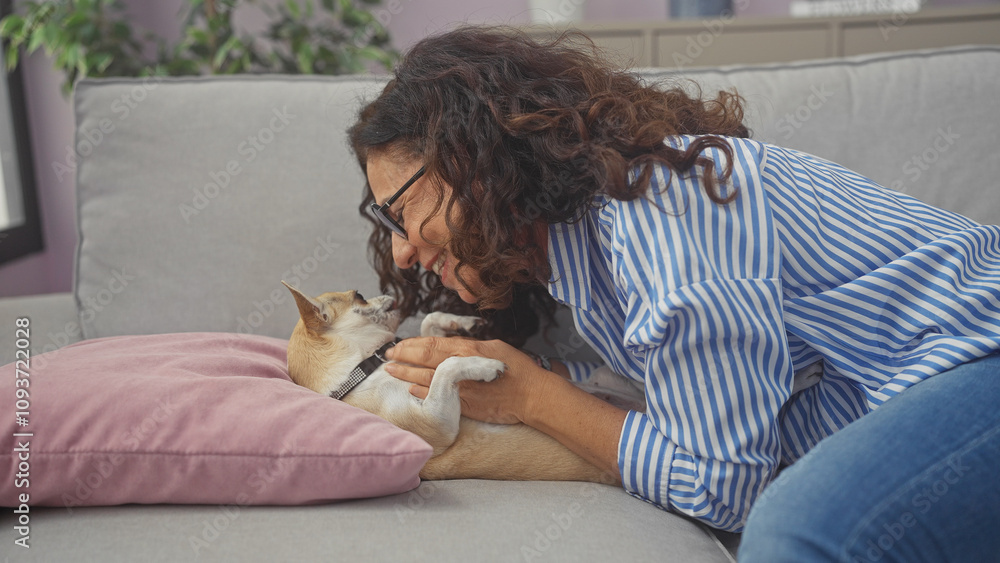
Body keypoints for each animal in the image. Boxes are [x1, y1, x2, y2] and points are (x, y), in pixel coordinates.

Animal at [282, 284, 608, 482]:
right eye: (360, 295)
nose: (390, 293)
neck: (361, 369)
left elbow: (429, 323)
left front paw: (459, 323)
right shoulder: (437, 424)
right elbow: (444, 365)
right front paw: (484, 364)